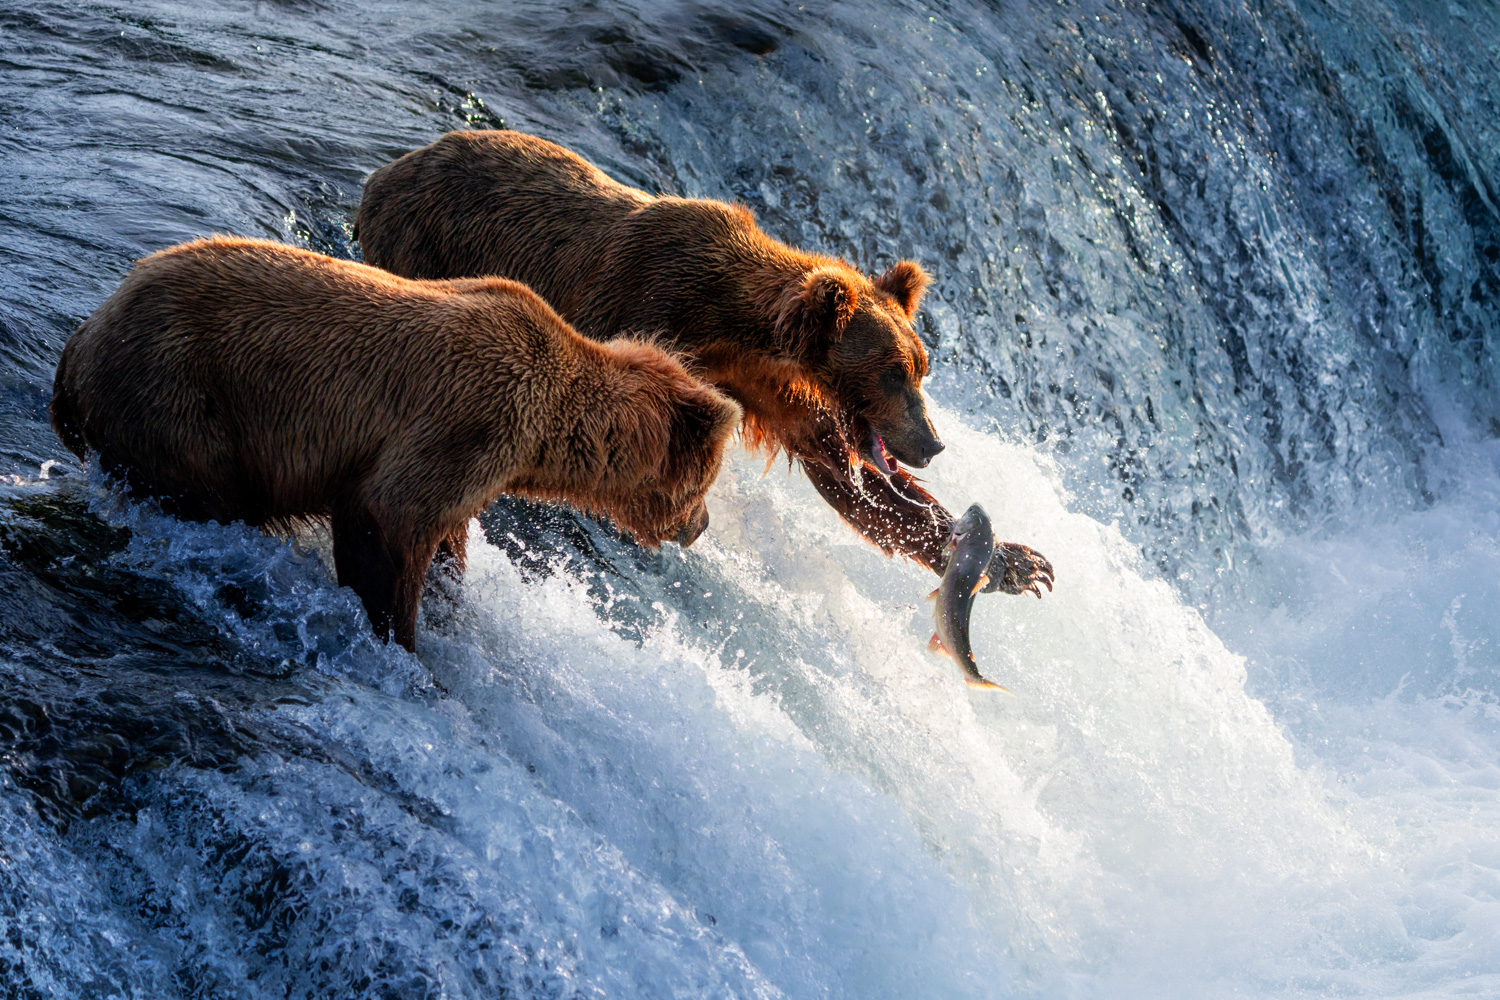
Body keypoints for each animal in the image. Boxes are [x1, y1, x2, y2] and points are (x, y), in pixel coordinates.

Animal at [50, 236, 742, 651]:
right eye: (706, 483)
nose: (702, 524)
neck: (546, 434)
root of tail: (78, 346)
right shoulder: (471, 418)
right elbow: (385, 516)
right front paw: (399, 636)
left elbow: (445, 542)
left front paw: (446, 603)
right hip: (184, 401)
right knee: (211, 495)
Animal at [353, 130, 1053, 597]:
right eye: (891, 371)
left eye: (922, 367)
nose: (931, 443)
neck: (727, 326)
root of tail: (387, 169)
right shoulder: (638, 307)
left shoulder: (768, 387)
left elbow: (849, 480)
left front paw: (1015, 562)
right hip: (423, 242)